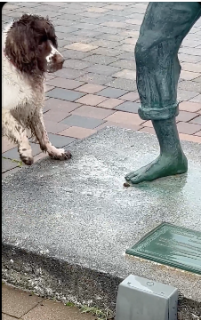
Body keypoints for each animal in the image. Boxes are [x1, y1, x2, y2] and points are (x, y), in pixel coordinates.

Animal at [2, 14, 71, 165]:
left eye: (52, 39)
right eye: (39, 43)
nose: (61, 61)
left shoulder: (32, 107)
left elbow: (43, 134)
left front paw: (56, 152)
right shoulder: (4, 110)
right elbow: (20, 129)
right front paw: (26, 152)